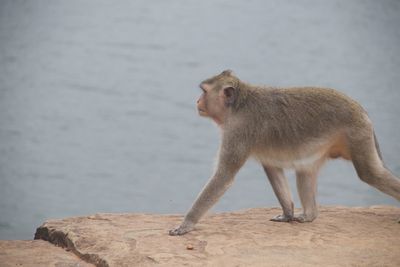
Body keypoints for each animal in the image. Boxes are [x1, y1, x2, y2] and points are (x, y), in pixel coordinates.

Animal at [169, 70, 400, 236]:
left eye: (204, 92)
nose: (197, 101)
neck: (237, 106)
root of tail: (361, 109)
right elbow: (273, 168)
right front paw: (287, 214)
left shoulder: (238, 131)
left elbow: (224, 176)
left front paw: (186, 224)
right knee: (305, 170)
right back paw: (309, 215)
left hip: (357, 133)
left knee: (371, 174)